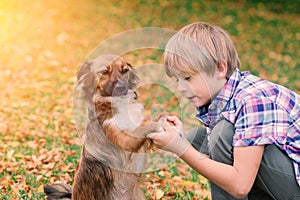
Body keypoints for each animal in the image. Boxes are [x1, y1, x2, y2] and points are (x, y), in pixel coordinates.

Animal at [44, 55, 164, 200]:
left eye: (125, 70)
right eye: (104, 72)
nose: (121, 87)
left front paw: (166, 117)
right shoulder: (123, 140)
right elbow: (142, 129)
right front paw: (156, 124)